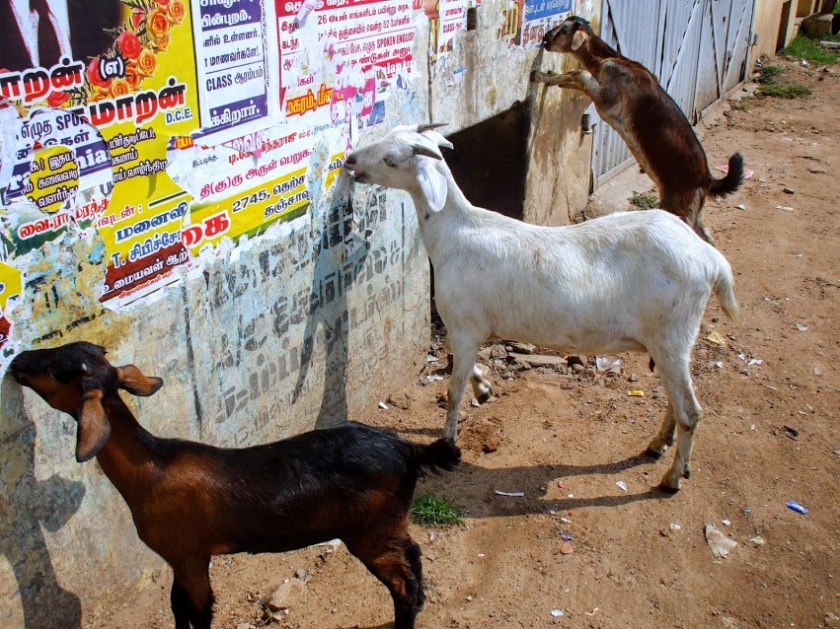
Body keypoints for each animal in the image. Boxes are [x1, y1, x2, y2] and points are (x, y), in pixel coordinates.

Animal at [9, 341, 461, 629]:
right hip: (389, 525)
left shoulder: (189, 553)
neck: (153, 468)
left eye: (57, 372)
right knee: (414, 558)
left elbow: (197, 610)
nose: (16, 361)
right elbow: (177, 608)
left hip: (371, 531)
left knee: (402, 583)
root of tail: (407, 449)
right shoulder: (180, 557)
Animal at [343, 124, 740, 492]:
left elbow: (454, 388)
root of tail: (710, 258)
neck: (454, 232)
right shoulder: (467, 327)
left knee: (690, 411)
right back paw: (659, 445)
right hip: (671, 341)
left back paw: (673, 476)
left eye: (391, 159)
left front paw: (449, 441)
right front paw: (484, 387)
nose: (350, 161)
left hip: (672, 334)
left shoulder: (465, 323)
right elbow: (458, 363)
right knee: (677, 401)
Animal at [533, 16, 744, 245]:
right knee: (706, 237)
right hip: (695, 209)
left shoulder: (607, 99)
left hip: (678, 204)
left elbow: (579, 74)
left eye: (563, 31)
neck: (607, 58)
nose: (545, 39)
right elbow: (573, 76)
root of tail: (706, 178)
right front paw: (547, 76)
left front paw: (540, 76)